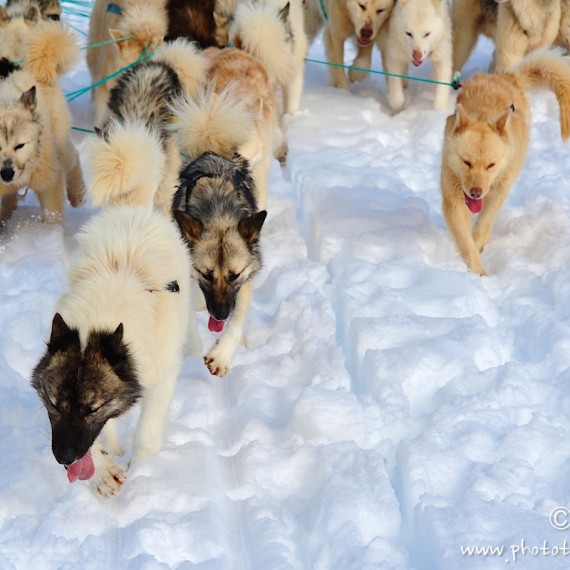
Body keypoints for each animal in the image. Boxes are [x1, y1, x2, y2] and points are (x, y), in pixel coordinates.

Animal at [440, 50, 568, 276]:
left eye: (491, 165)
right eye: (466, 162)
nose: (476, 192)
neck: (483, 112)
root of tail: (507, 77)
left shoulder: (499, 190)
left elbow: (482, 225)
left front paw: (478, 246)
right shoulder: (453, 199)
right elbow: (465, 241)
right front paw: (477, 272)